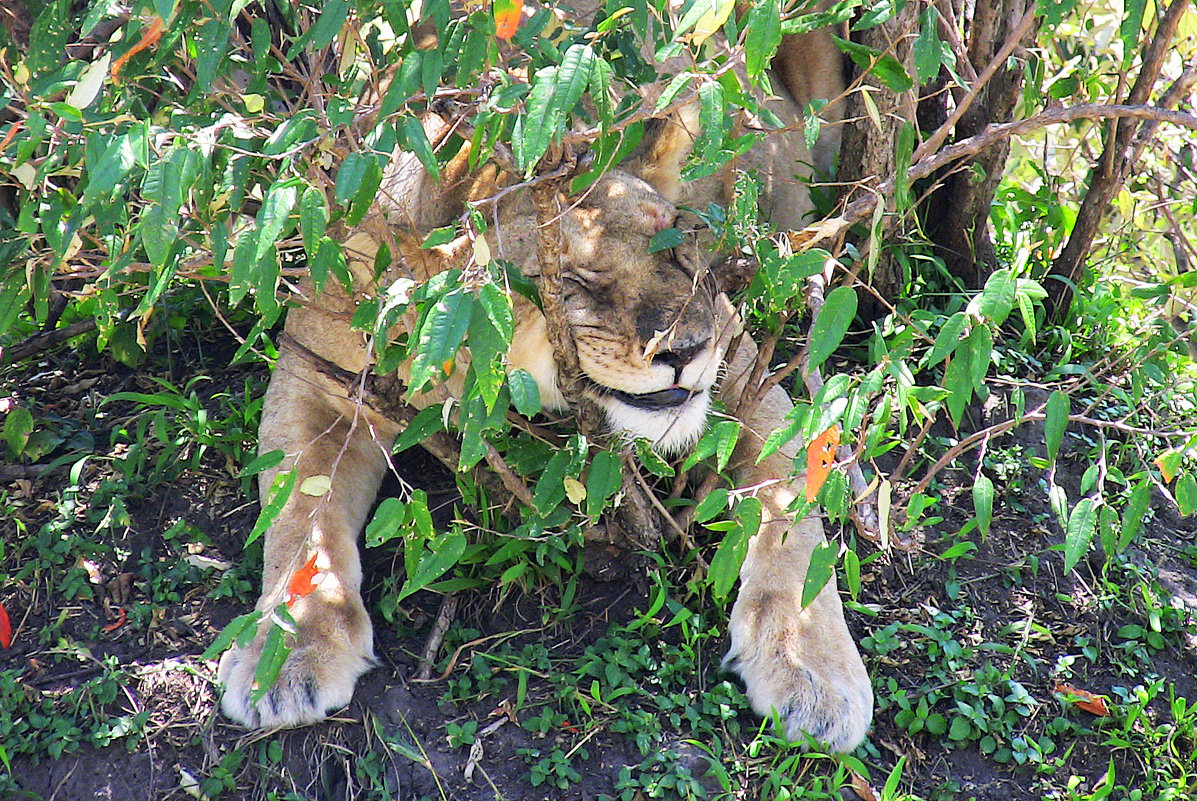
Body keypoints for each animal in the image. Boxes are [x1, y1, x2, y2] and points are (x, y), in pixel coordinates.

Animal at [215, 9, 871, 751]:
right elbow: (301, 519)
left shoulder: (744, 381)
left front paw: (811, 670)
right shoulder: (317, 371)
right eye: (575, 280)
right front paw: (287, 656)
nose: (688, 348)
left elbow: (793, 524)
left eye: (681, 249)